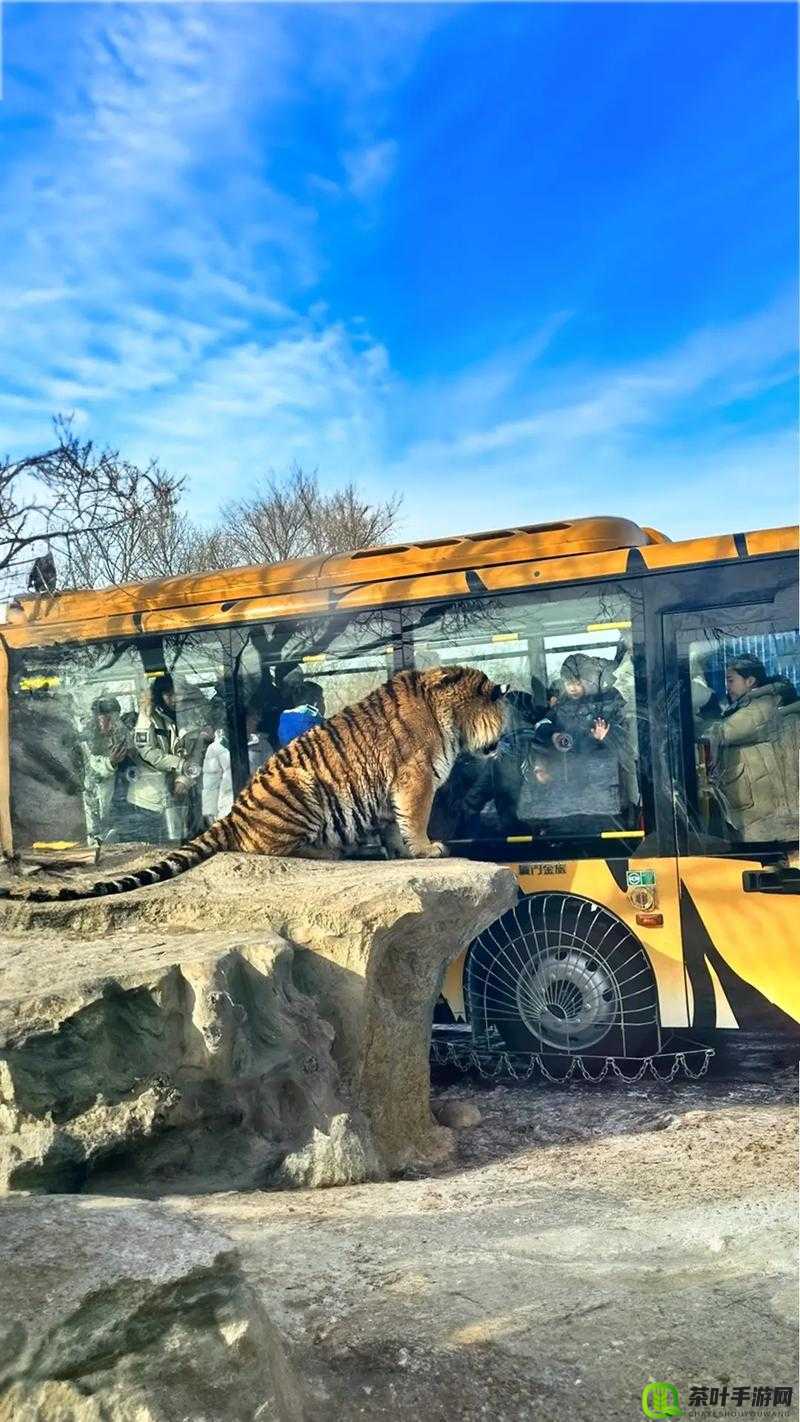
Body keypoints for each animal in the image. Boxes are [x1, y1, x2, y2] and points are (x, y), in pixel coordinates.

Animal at [3, 662, 505, 898]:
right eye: (501, 706)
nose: (505, 739)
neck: (453, 718)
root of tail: (233, 813)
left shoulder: (388, 791)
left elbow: (393, 825)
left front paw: (403, 853)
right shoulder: (415, 778)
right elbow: (413, 818)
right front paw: (428, 848)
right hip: (302, 788)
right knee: (270, 848)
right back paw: (332, 850)